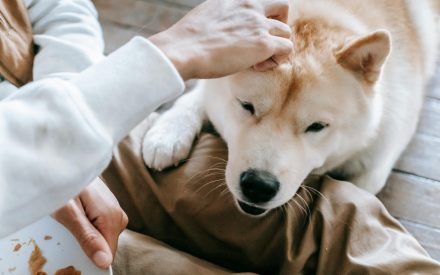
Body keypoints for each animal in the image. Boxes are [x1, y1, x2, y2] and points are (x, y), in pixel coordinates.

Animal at [143, 0, 438, 218]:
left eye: (317, 127)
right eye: (246, 106)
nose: (258, 186)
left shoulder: (374, 165)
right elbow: (196, 97)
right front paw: (168, 133)